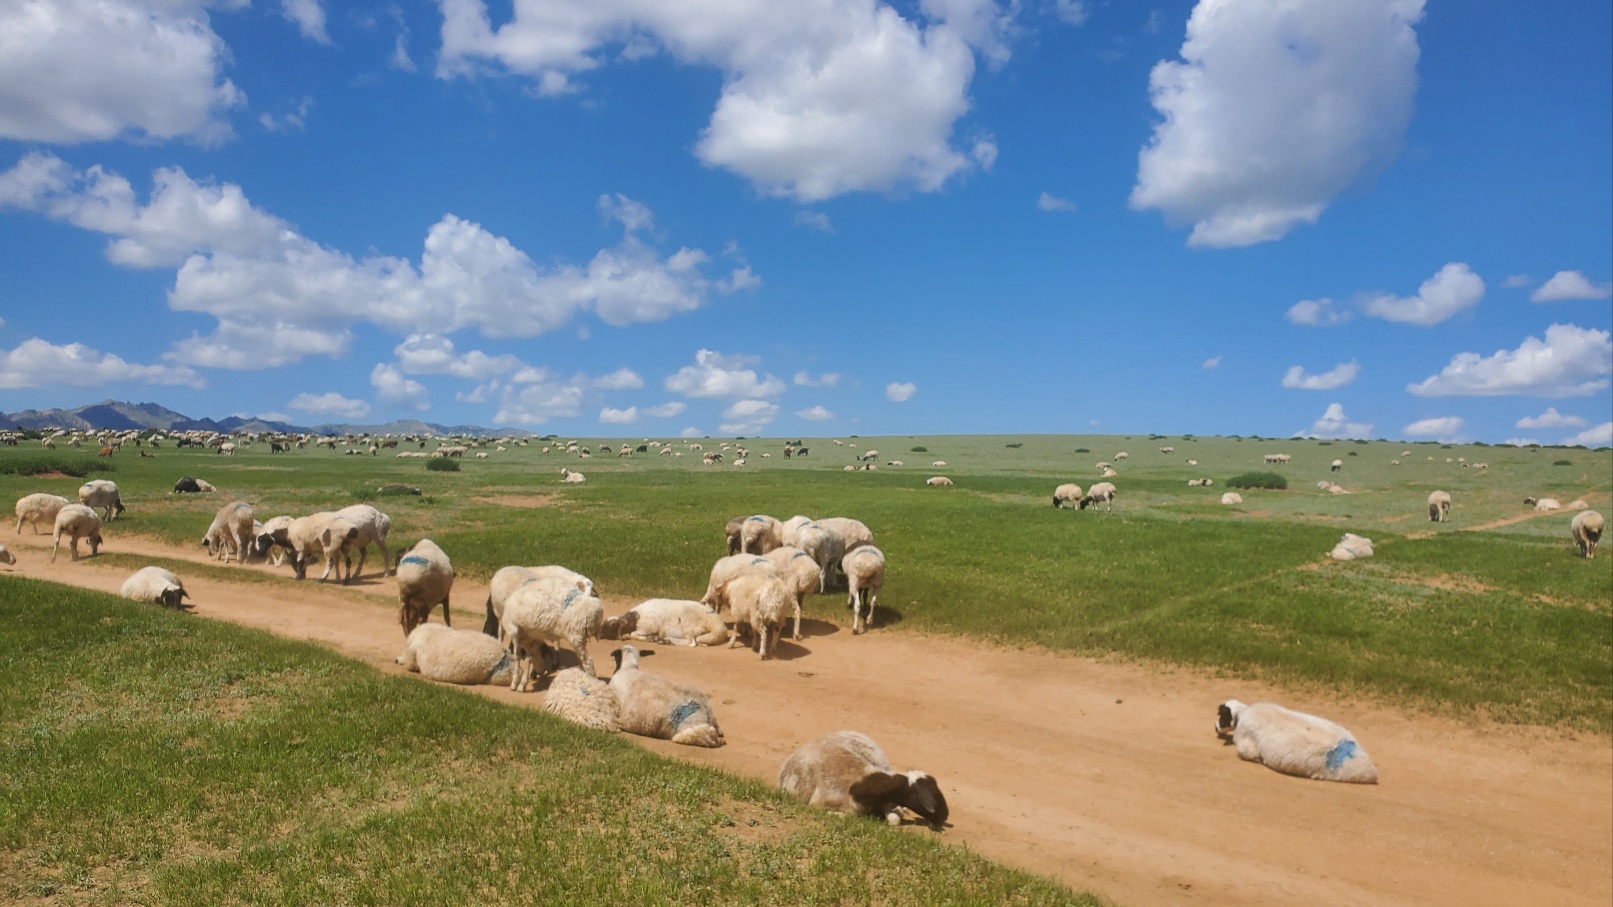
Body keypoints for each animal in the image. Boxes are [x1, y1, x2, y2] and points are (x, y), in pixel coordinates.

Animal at [600, 597, 732, 645]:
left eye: (612, 625)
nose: (599, 635)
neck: (636, 616)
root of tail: (719, 627)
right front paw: (653, 638)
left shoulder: (650, 626)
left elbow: (633, 634)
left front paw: (651, 638)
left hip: (688, 624)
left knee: (691, 642)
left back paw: (667, 640)